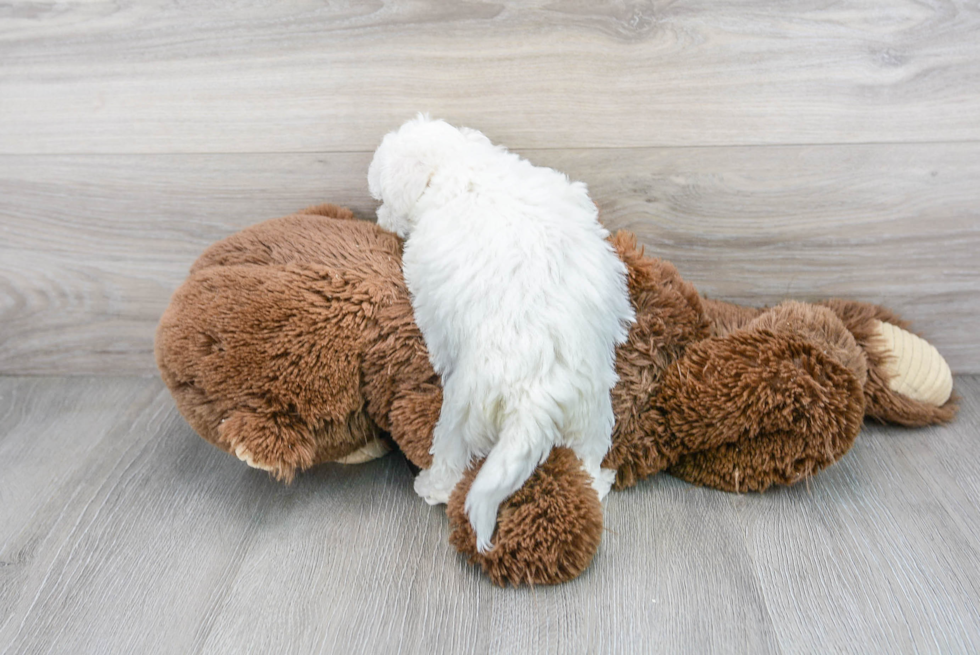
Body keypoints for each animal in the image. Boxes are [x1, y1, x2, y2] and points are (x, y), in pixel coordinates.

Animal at [370, 118, 636, 552]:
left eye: (384, 198)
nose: (379, 219)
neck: (460, 163)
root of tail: (539, 390)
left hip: (464, 407)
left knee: (452, 454)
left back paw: (432, 487)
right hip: (591, 407)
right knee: (590, 452)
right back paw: (597, 481)